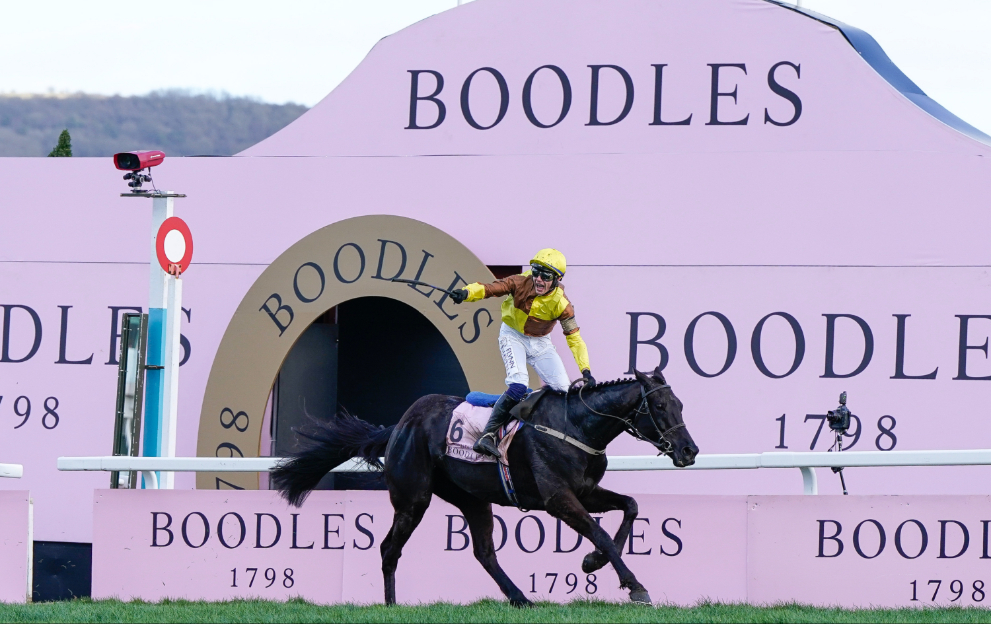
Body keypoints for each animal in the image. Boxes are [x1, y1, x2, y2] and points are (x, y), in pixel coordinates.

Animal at [272, 366, 696, 604]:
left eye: (680, 405)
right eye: (660, 407)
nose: (689, 451)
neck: (575, 426)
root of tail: (401, 425)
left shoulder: (585, 491)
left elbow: (629, 507)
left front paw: (593, 561)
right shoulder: (558, 498)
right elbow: (600, 533)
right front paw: (633, 584)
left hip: (473, 500)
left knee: (484, 552)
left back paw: (520, 598)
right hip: (413, 498)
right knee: (390, 547)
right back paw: (391, 605)